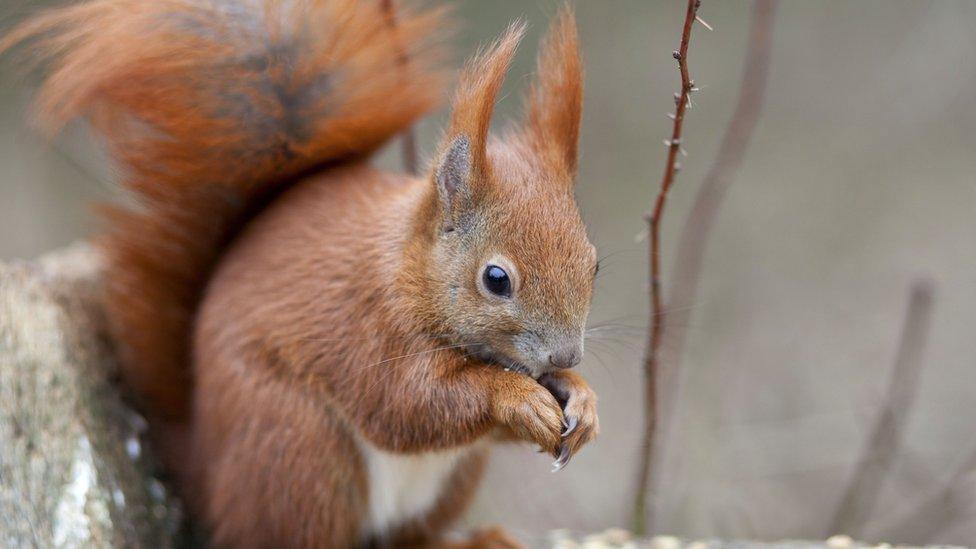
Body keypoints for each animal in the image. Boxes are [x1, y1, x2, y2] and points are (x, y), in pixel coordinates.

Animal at [5, 0, 604, 544]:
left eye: (594, 263)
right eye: (496, 279)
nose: (565, 356)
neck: (411, 272)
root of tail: (206, 471)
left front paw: (581, 399)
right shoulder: (369, 327)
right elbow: (409, 405)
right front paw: (517, 398)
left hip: (445, 480)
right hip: (297, 453)